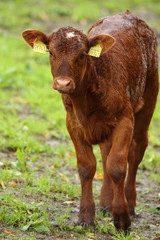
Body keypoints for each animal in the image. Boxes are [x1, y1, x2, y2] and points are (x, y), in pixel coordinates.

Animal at [22, 10, 159, 231]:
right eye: (51, 52)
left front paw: (122, 217)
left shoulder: (125, 119)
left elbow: (117, 166)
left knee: (137, 148)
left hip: (149, 95)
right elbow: (87, 167)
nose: (63, 83)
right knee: (105, 152)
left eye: (82, 54)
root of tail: (128, 14)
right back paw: (105, 203)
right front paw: (86, 217)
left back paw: (130, 203)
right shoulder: (73, 124)